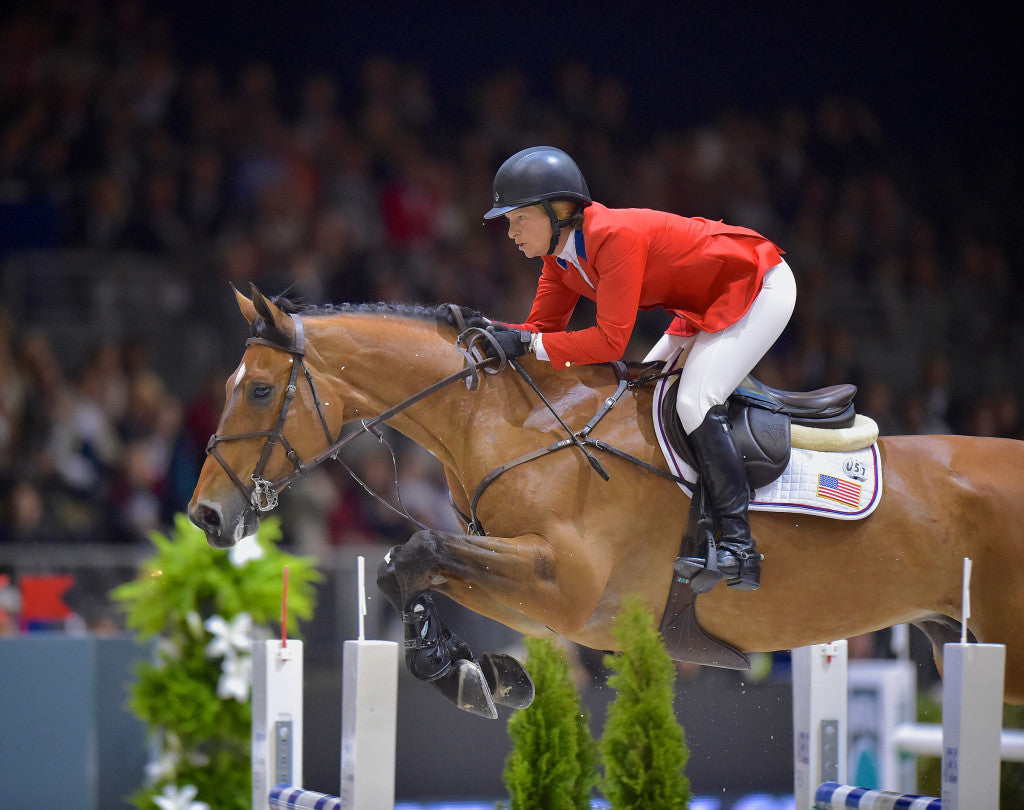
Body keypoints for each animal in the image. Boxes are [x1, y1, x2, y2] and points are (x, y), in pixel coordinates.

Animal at [188, 288, 1024, 720]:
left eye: (257, 389)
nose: (204, 516)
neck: (507, 421)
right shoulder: (538, 598)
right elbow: (407, 565)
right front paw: (474, 670)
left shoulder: (564, 583)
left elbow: (418, 551)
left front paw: (461, 670)